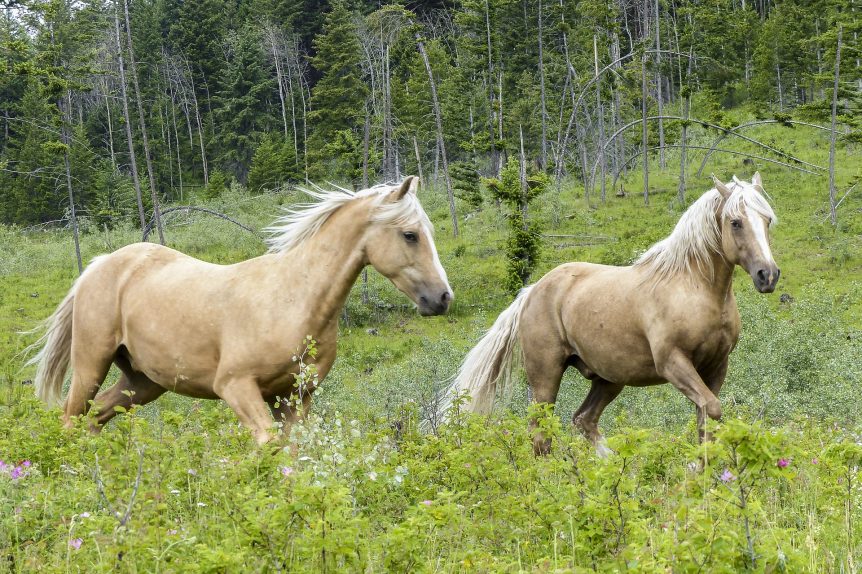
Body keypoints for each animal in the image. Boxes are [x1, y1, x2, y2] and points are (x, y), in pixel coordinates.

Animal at [29, 176, 452, 445]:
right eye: (410, 235)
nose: (442, 297)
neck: (294, 300)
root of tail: (99, 265)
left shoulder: (294, 397)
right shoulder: (236, 387)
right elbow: (268, 447)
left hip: (142, 382)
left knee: (94, 418)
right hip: (91, 363)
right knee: (71, 418)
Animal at [438, 173, 778, 455]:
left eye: (767, 220)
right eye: (735, 222)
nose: (768, 275)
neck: (693, 288)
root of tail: (531, 291)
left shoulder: (717, 366)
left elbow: (707, 419)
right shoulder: (673, 363)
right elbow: (712, 409)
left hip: (608, 378)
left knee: (583, 419)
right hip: (546, 376)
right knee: (541, 433)